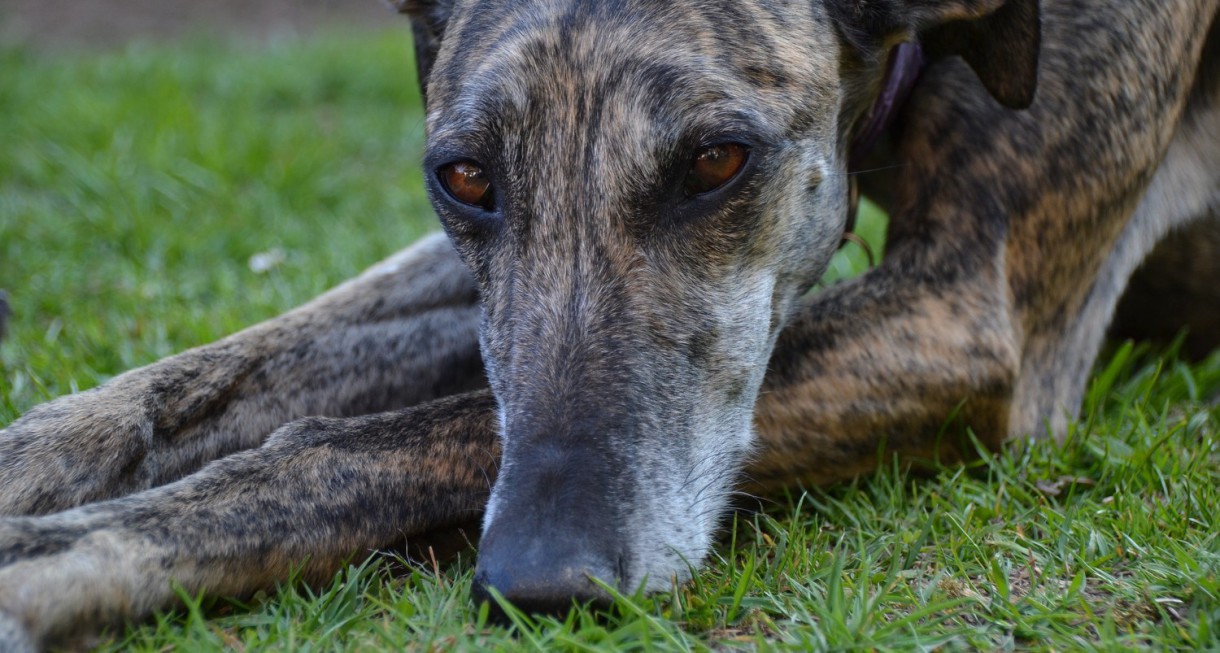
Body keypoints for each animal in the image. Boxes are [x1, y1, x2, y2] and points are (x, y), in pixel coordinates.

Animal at [2, 0, 1220, 649]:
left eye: (718, 160)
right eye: (463, 177)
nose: (547, 579)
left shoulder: (970, 311)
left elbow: (364, 440)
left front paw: (56, 557)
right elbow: (229, 370)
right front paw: (31, 465)